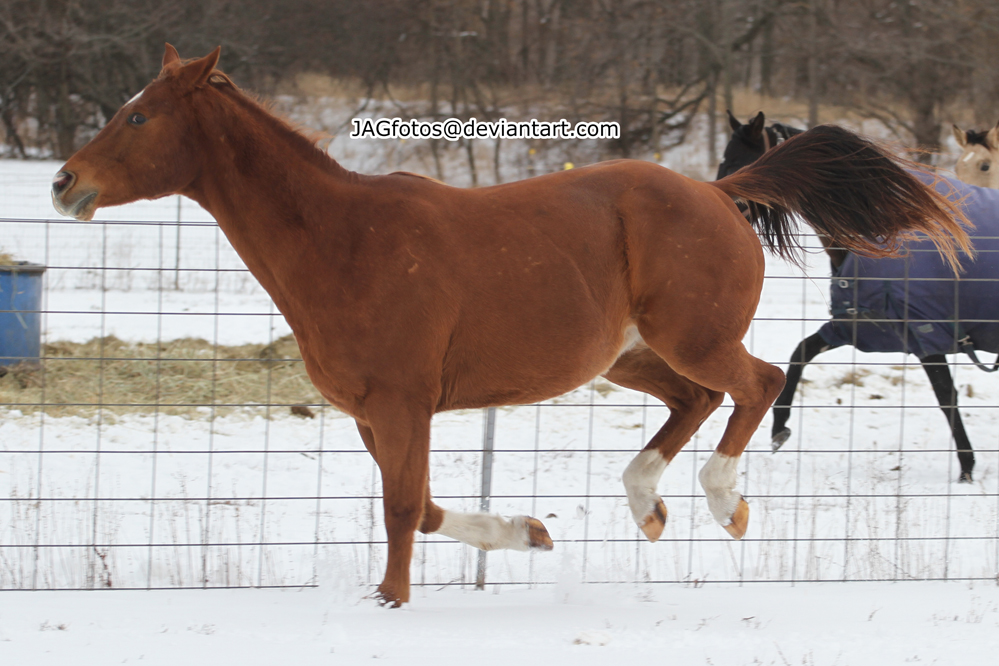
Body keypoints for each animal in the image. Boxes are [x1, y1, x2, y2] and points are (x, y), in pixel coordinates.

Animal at [52, 48, 968, 608]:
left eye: (139, 118)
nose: (64, 183)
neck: (344, 241)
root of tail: (719, 192)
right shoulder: (372, 414)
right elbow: (421, 506)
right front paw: (526, 533)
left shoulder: (403, 404)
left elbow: (400, 508)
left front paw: (390, 602)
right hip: (624, 356)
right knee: (694, 401)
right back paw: (646, 505)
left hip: (692, 338)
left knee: (758, 382)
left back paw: (722, 502)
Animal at [724, 111, 996, 480]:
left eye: (739, 162)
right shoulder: (855, 325)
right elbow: (800, 353)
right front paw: (779, 428)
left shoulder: (925, 335)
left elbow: (946, 397)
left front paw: (966, 469)